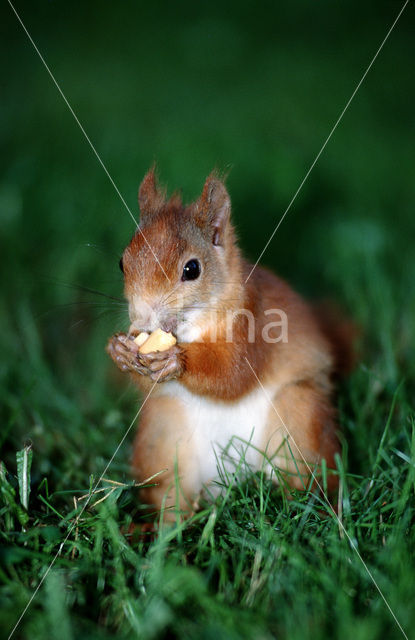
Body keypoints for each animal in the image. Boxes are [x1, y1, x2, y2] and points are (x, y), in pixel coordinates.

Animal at [106, 170, 344, 520]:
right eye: (122, 263)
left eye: (192, 269)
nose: (142, 319)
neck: (193, 328)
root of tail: (227, 483)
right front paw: (120, 351)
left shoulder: (257, 325)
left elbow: (232, 374)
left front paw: (176, 360)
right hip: (162, 432)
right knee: (171, 491)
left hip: (298, 418)